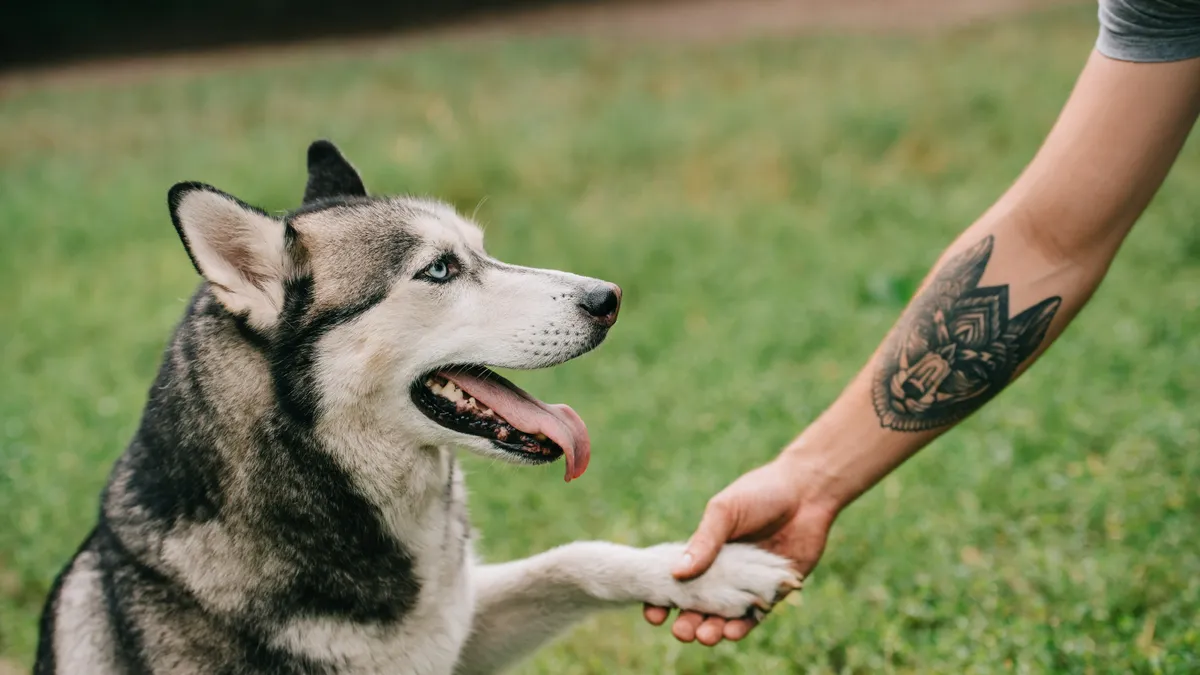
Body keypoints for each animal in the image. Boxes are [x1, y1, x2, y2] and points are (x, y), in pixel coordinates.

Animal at [35, 139, 806, 667]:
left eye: (483, 253)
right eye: (438, 270)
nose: (608, 298)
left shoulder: (455, 629)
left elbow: (573, 556)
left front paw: (706, 570)